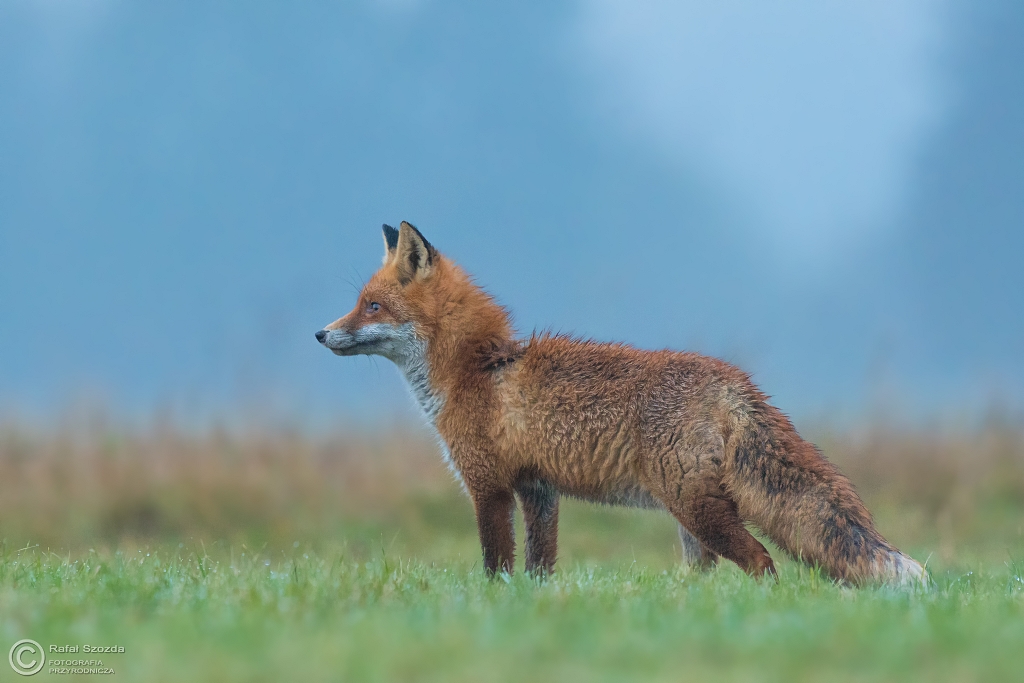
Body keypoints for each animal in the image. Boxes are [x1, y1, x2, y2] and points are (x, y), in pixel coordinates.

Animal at [316, 221, 927, 586]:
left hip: (695, 508)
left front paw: (491, 606)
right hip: (691, 519)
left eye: (372, 306)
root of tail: (733, 380)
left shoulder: (488, 485)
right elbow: (540, 567)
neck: (478, 369)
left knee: (761, 561)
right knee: (707, 575)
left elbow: (496, 565)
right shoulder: (539, 490)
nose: (321, 334)